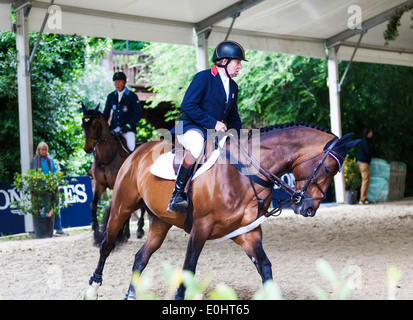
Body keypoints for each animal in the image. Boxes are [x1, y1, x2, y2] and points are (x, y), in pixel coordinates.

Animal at [80, 104, 145, 244]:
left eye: (94, 125)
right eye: (82, 125)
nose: (87, 148)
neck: (106, 158)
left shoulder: (118, 185)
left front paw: (120, 234)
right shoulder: (99, 185)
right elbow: (93, 206)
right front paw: (96, 234)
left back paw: (138, 230)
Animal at [85, 122, 358, 300]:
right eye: (328, 169)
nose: (309, 208)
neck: (245, 173)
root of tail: (136, 153)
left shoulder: (247, 233)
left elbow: (265, 266)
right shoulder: (200, 228)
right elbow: (188, 268)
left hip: (161, 222)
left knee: (141, 257)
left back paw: (131, 294)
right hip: (122, 207)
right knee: (107, 245)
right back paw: (93, 288)